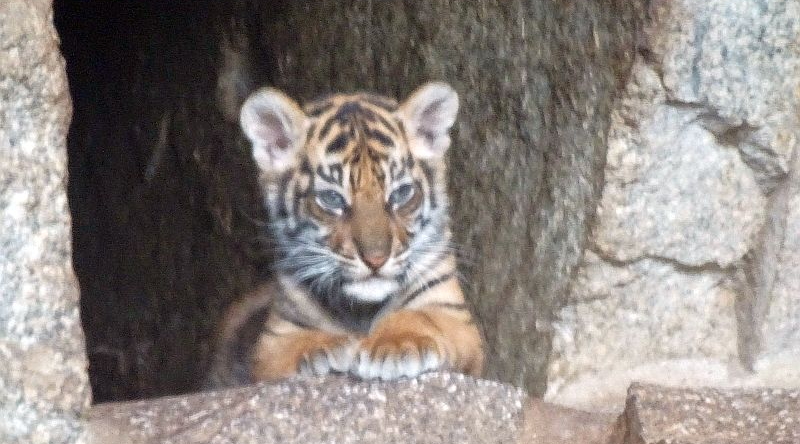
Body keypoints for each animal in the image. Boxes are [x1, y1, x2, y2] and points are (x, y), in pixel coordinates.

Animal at [214, 81, 483, 383]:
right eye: (332, 198)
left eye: (401, 194)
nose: (376, 260)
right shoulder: (275, 336)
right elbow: (289, 347)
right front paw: (324, 349)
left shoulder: (454, 315)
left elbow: (420, 316)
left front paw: (396, 345)